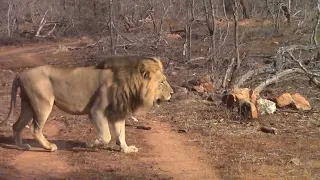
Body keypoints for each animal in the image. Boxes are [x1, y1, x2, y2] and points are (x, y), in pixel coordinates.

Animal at [1, 55, 172, 153]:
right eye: (162, 82)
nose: (172, 93)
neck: (130, 84)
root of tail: (20, 74)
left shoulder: (118, 112)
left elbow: (121, 133)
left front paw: (126, 149)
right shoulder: (97, 111)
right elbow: (106, 136)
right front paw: (91, 144)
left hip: (28, 106)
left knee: (16, 126)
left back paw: (21, 146)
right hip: (42, 104)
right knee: (35, 129)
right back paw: (49, 147)